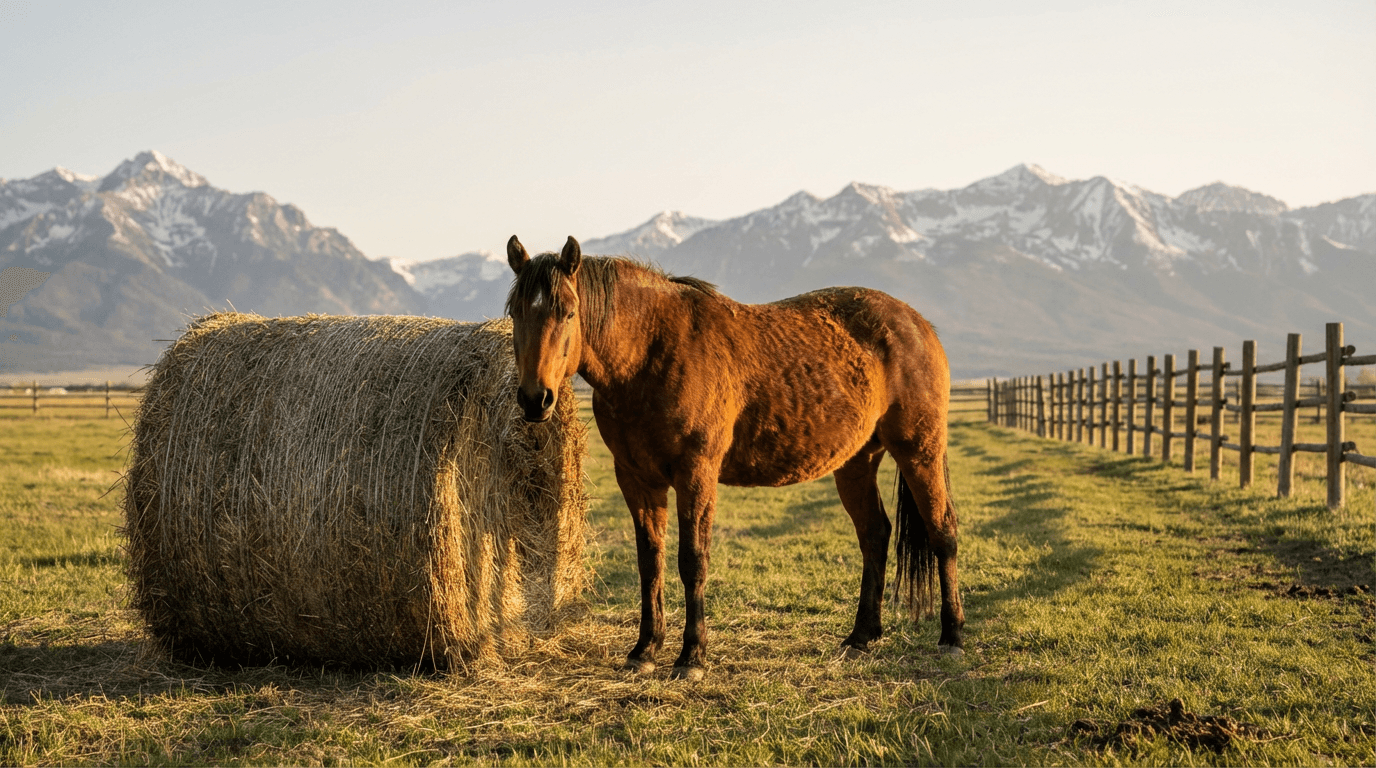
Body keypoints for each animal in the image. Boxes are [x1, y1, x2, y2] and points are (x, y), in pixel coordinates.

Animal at [505, 235, 963, 681]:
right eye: (515, 313)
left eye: (568, 312)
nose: (534, 399)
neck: (651, 354)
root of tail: (917, 323)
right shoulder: (637, 479)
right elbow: (650, 562)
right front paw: (645, 649)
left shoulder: (696, 474)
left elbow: (692, 560)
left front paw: (692, 656)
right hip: (856, 462)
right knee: (874, 535)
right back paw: (861, 636)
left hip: (919, 452)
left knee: (942, 532)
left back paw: (952, 635)